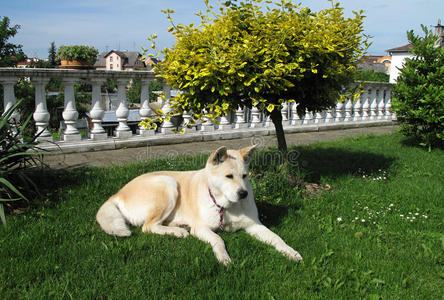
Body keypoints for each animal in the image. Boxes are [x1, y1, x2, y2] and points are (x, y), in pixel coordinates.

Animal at [96, 146, 304, 264]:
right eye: (229, 176)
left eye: (244, 176)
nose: (243, 194)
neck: (226, 206)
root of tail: (118, 193)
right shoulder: (202, 229)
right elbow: (219, 239)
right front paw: (223, 258)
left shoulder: (254, 226)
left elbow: (277, 238)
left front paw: (291, 252)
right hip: (169, 183)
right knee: (148, 227)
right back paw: (177, 232)